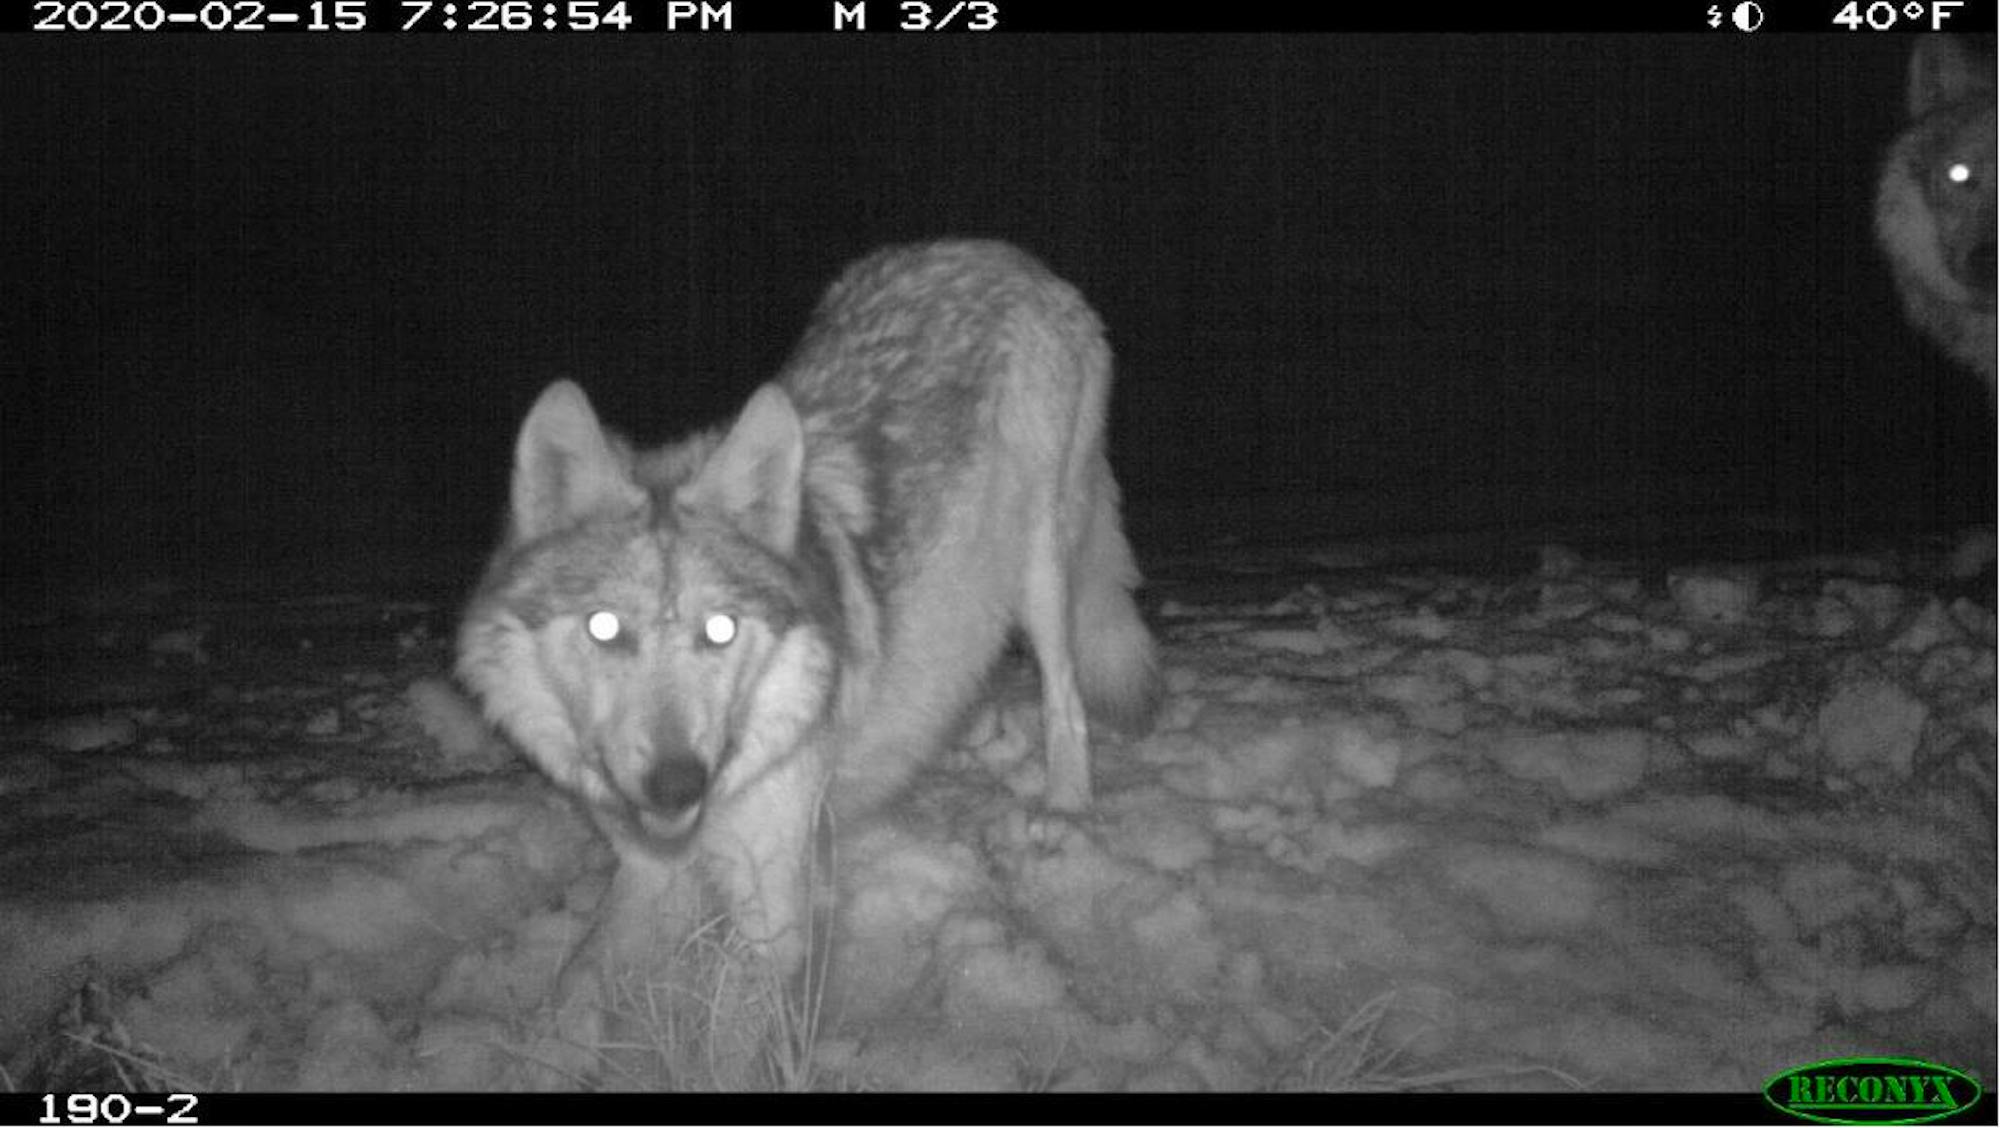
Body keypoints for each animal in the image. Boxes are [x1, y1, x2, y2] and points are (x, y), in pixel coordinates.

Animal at [454, 240, 1160, 1080]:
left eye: (721, 630)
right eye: (604, 628)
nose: (677, 781)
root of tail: (1004, 254)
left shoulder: (774, 914)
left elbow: (720, 1051)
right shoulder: (650, 872)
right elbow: (573, 991)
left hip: (1041, 569)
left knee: (1065, 696)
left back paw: (1064, 807)